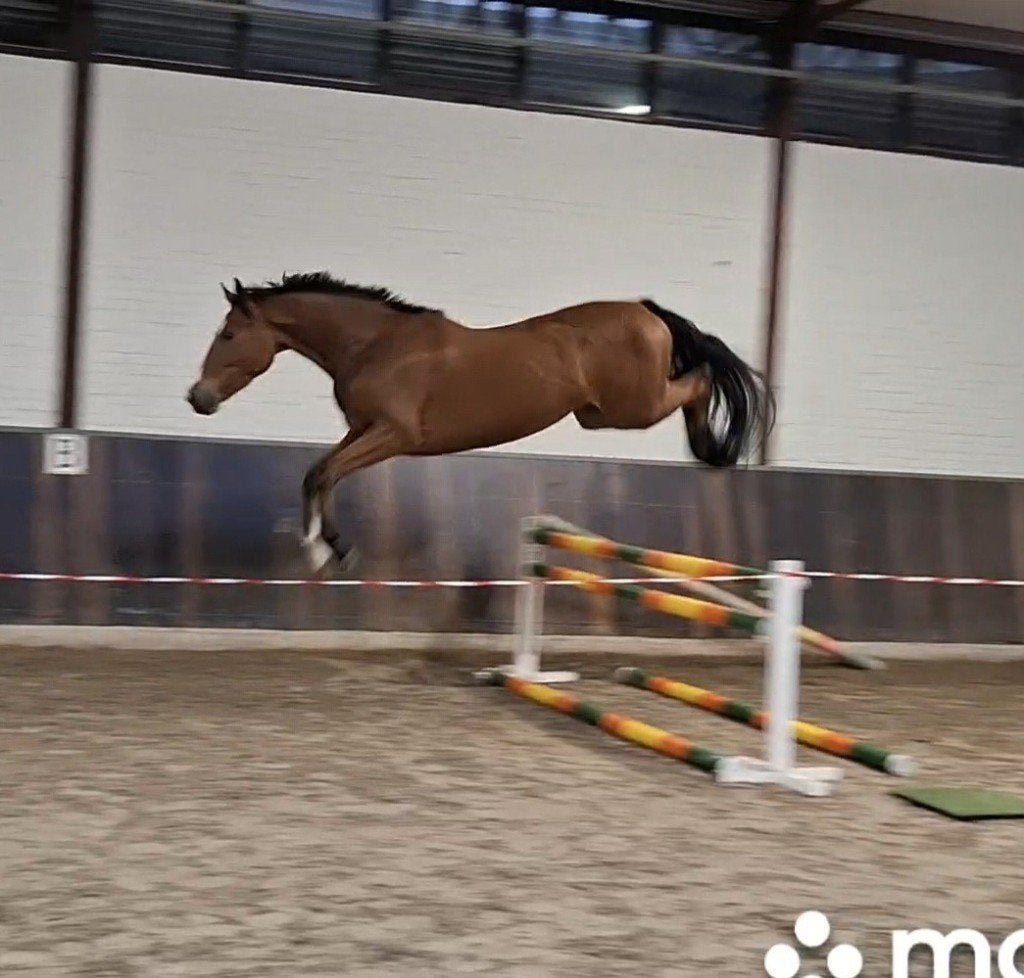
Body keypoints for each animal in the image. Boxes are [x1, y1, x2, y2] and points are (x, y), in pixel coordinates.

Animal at [186, 272, 774, 574]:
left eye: (230, 335)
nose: (199, 398)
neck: (377, 345)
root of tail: (646, 311)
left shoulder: (394, 435)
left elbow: (325, 474)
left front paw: (333, 549)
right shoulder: (363, 431)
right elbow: (317, 472)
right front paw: (316, 547)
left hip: (631, 408)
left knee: (700, 379)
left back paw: (712, 448)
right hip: (602, 415)